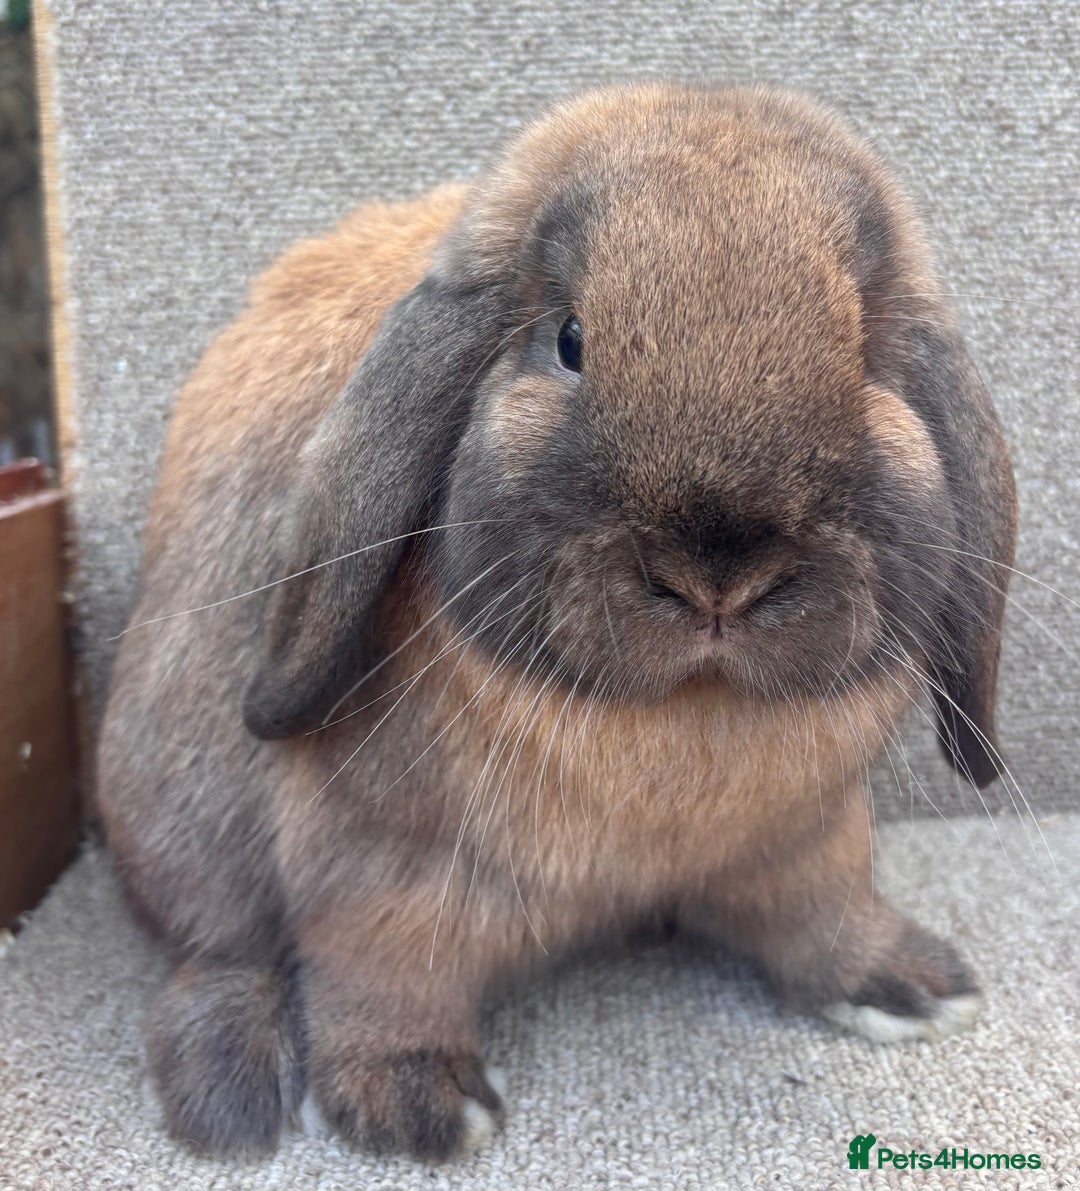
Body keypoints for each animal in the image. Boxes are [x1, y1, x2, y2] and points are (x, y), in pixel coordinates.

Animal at [97, 82, 1017, 1161]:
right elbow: (376, 972)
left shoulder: (810, 842)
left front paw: (913, 986)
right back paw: (230, 1097)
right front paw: (416, 1106)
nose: (720, 575)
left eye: (868, 352)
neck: (684, 721)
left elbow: (824, 916)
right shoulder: (371, 869)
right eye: (571, 340)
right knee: (216, 953)